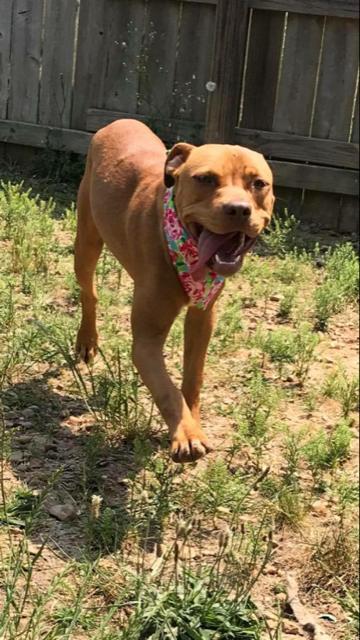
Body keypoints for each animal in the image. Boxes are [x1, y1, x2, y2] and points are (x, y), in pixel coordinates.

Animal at [74, 119, 274, 460]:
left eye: (258, 183)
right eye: (205, 178)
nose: (238, 209)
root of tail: (118, 121)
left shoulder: (203, 318)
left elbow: (193, 377)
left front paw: (192, 419)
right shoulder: (146, 343)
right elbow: (166, 389)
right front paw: (186, 433)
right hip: (85, 244)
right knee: (90, 293)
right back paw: (87, 340)